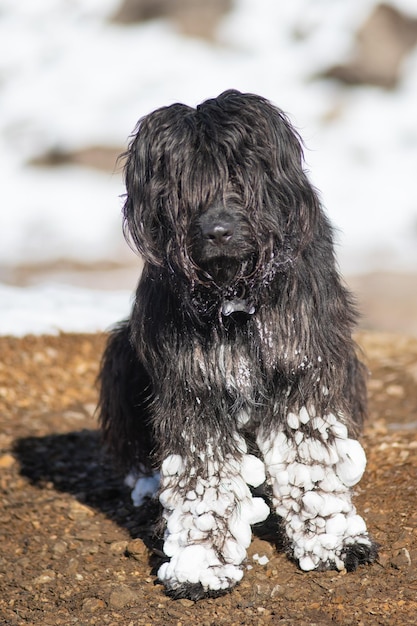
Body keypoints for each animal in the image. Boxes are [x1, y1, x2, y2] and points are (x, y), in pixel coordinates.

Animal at [100, 90, 376, 596]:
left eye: (239, 176)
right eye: (182, 186)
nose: (217, 232)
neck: (234, 292)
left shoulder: (302, 369)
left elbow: (312, 459)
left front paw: (334, 540)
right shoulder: (194, 386)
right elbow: (202, 478)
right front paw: (199, 566)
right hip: (122, 356)